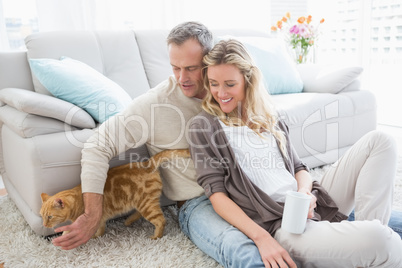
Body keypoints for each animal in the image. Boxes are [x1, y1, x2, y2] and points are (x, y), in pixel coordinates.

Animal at [40, 149, 191, 239]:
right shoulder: (99, 218)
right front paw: (98, 235)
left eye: (50, 217)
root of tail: (147, 164)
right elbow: (100, 228)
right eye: (42, 216)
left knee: (161, 220)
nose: (44, 225)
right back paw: (129, 220)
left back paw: (156, 237)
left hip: (146, 204)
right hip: (143, 203)